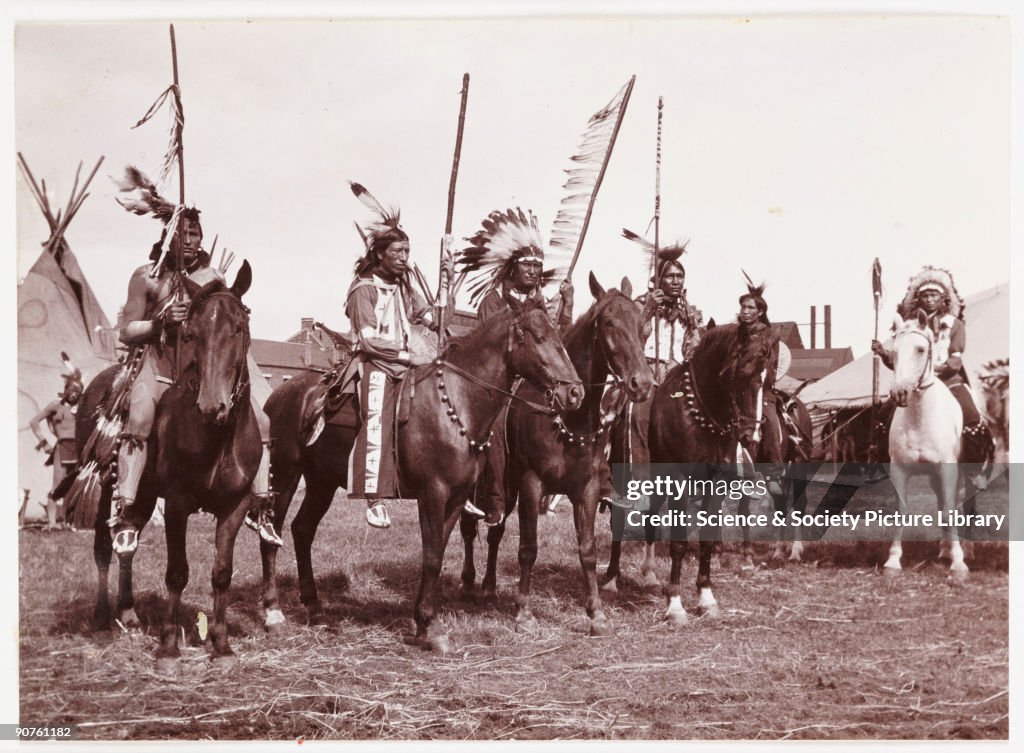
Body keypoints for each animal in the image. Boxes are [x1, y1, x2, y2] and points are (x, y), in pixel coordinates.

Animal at [256, 297, 581, 651]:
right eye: (539, 337)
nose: (574, 393)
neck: (456, 402)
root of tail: (278, 396)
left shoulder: (456, 498)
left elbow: (437, 552)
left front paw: (424, 621)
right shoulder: (432, 493)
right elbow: (431, 556)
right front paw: (431, 627)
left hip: (321, 482)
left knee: (302, 531)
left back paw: (314, 606)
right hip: (285, 475)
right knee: (271, 536)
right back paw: (273, 613)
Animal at [458, 272, 651, 635]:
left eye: (642, 325)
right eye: (608, 323)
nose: (642, 384)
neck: (568, 418)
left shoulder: (586, 490)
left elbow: (587, 550)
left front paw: (596, 613)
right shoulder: (532, 486)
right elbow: (528, 549)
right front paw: (523, 612)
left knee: (495, 532)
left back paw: (489, 585)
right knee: (471, 527)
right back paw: (468, 581)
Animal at [880, 311, 966, 581]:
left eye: (920, 349)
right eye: (894, 352)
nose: (900, 393)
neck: (920, 419)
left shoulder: (948, 469)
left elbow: (950, 510)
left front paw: (959, 563)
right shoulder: (899, 470)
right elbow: (901, 511)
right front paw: (893, 560)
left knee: (952, 505)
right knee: (941, 504)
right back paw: (943, 550)